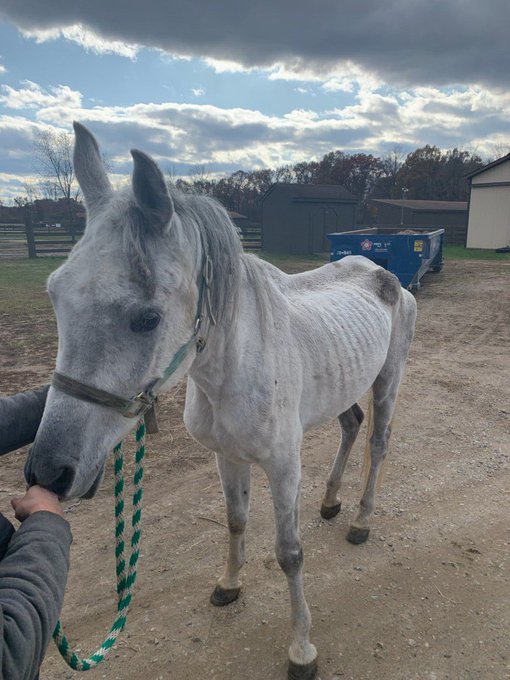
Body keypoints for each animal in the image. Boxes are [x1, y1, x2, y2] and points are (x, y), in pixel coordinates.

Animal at [23, 123, 416, 680]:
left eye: (147, 318)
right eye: (55, 295)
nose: (49, 471)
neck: (234, 366)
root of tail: (386, 276)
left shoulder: (283, 465)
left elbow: (290, 553)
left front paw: (302, 649)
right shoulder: (227, 458)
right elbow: (235, 521)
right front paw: (229, 585)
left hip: (388, 379)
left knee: (378, 443)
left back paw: (360, 521)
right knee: (351, 425)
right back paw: (331, 502)